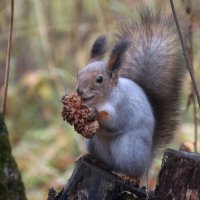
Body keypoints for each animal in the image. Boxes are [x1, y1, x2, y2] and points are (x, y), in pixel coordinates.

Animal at [75, 4, 184, 179]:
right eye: (78, 74)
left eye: (99, 79)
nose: (79, 91)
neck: (101, 100)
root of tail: (147, 161)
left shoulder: (123, 107)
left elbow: (114, 122)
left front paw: (94, 115)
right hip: (93, 142)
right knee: (108, 164)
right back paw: (89, 157)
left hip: (129, 149)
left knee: (129, 170)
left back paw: (130, 177)